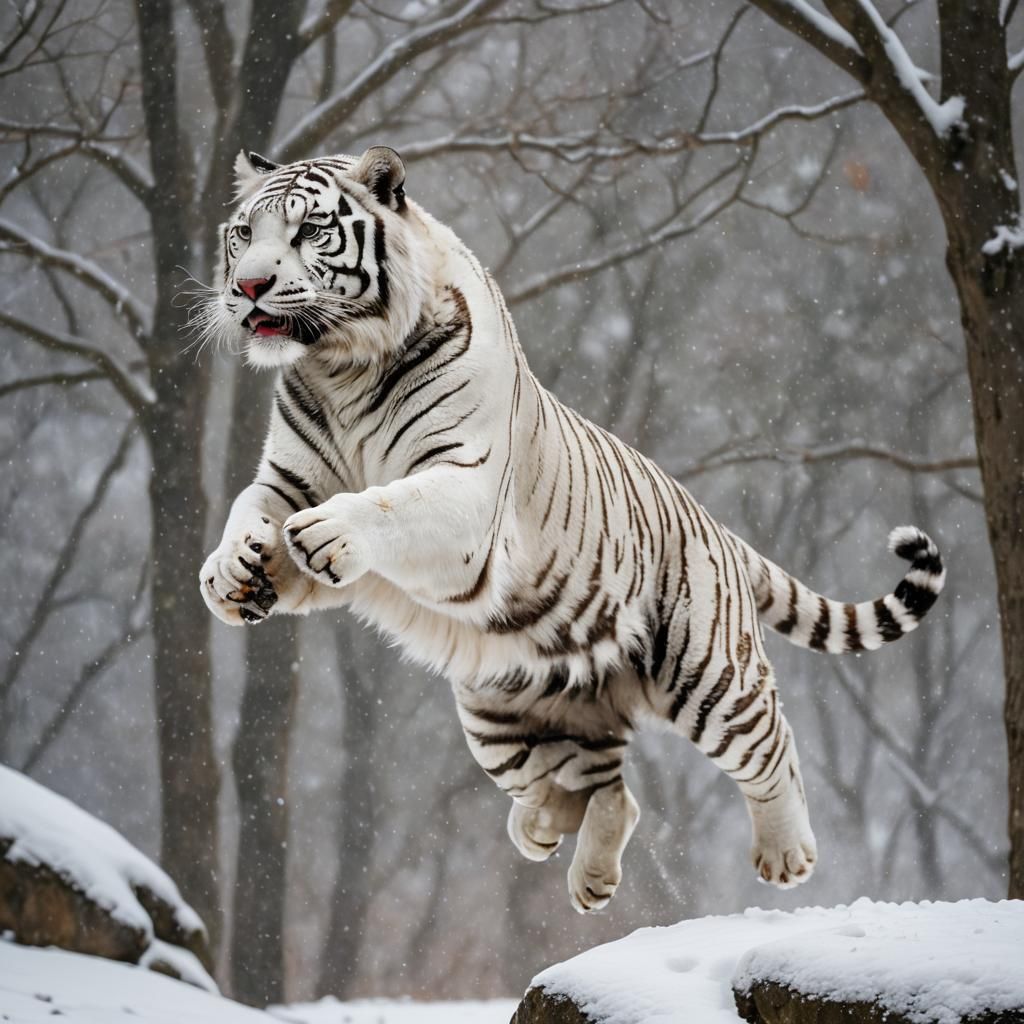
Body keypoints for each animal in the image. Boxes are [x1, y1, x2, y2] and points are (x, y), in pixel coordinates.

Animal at [199, 146, 946, 912]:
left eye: (311, 231)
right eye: (244, 233)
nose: (250, 284)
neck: (341, 366)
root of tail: (716, 524)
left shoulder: (466, 490)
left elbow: (392, 502)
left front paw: (325, 533)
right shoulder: (286, 479)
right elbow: (246, 510)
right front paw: (231, 574)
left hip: (707, 673)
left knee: (769, 745)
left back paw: (786, 854)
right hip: (495, 713)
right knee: (607, 793)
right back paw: (565, 855)